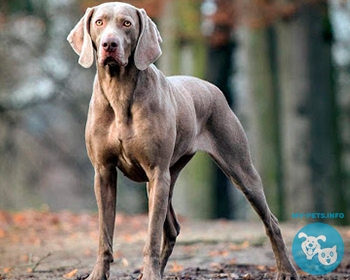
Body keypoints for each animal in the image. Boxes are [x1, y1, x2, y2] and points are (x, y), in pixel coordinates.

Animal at [66, 2, 298, 280]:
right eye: (99, 22)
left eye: (126, 23)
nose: (109, 44)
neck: (119, 90)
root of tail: (212, 87)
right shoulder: (103, 172)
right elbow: (104, 232)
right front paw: (99, 274)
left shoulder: (157, 171)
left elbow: (151, 235)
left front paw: (151, 274)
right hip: (167, 177)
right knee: (173, 228)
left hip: (237, 168)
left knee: (270, 221)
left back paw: (285, 270)